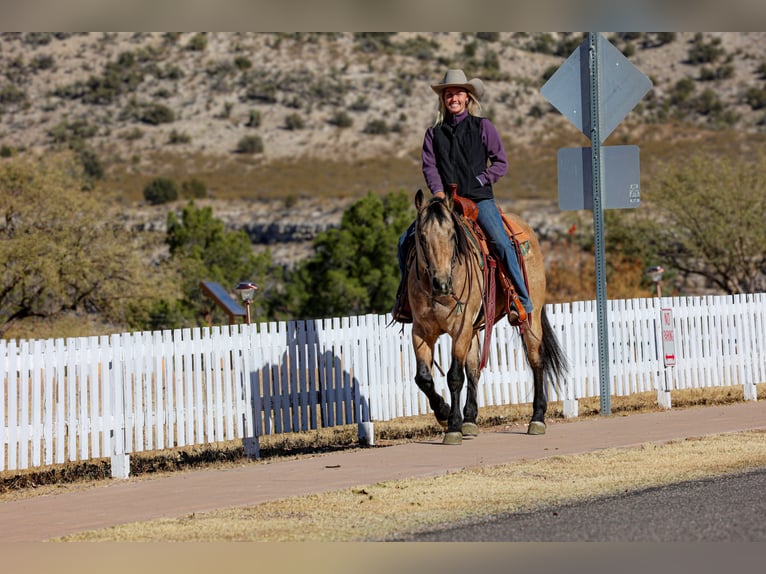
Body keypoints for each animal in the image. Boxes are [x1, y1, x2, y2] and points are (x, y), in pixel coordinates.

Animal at [412, 188, 568, 446]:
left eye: (452, 236)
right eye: (422, 238)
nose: (441, 283)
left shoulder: (461, 327)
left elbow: (455, 376)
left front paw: (452, 426)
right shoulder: (421, 331)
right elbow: (423, 378)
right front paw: (444, 412)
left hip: (530, 317)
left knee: (536, 360)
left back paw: (537, 418)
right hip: (475, 330)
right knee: (474, 369)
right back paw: (470, 420)